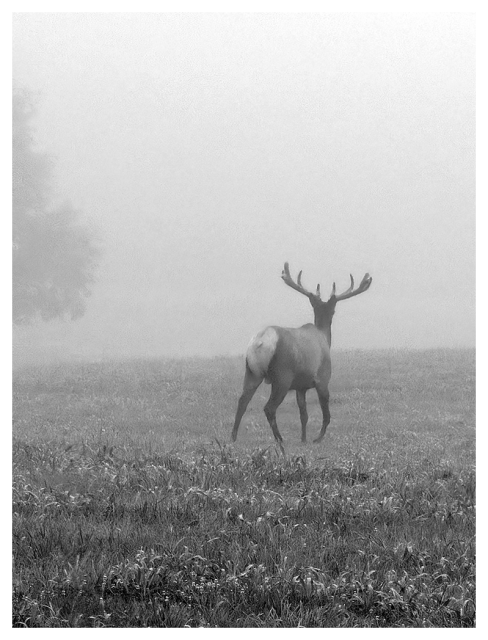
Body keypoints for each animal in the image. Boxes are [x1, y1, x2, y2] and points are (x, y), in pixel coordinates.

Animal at [231, 262, 372, 453]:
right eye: (334, 310)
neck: (324, 337)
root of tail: (260, 342)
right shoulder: (322, 378)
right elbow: (326, 413)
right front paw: (317, 438)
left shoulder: (300, 386)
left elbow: (303, 414)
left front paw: (303, 438)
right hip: (282, 376)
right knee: (269, 408)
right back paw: (280, 439)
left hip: (251, 372)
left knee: (242, 402)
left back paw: (233, 437)